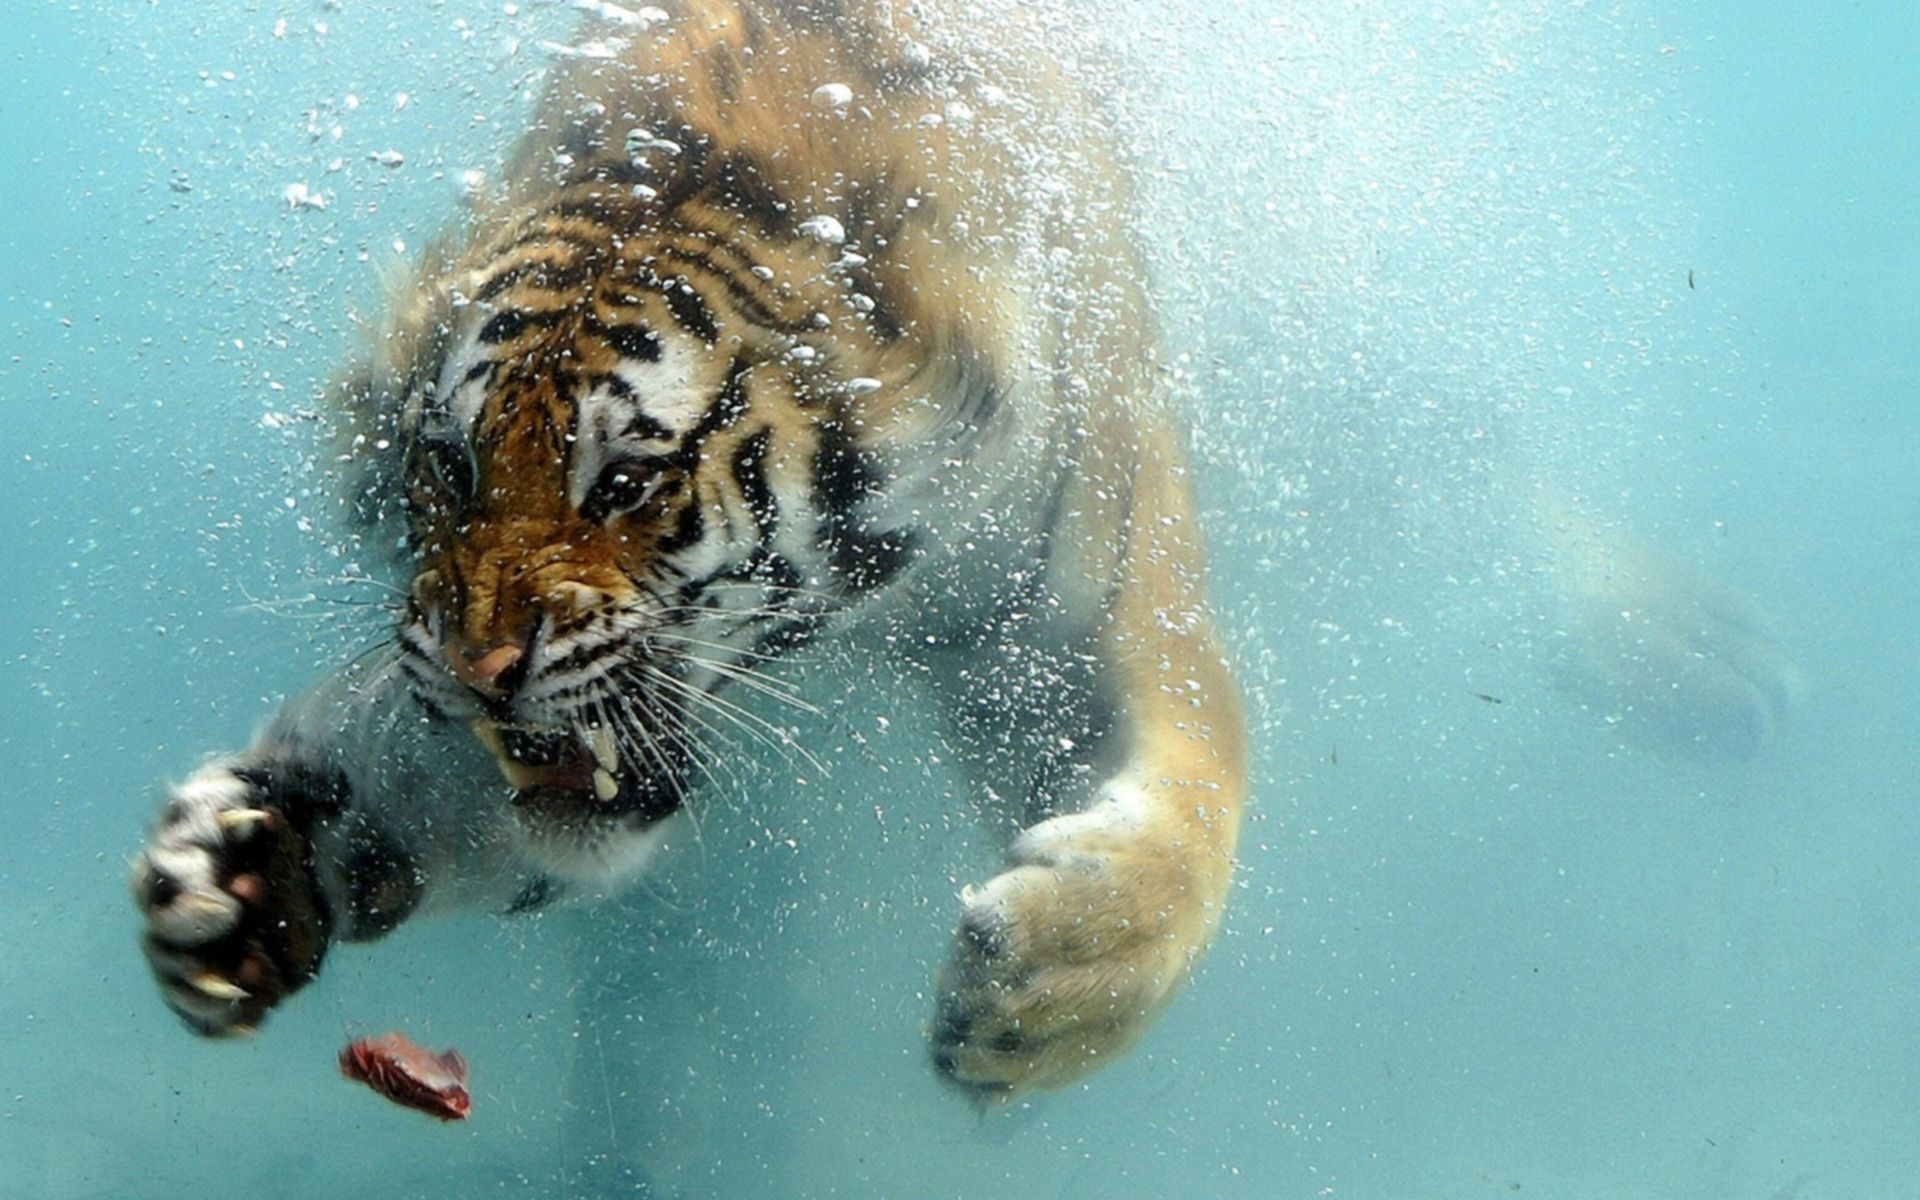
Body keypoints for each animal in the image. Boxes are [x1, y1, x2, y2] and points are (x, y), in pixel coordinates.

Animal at [131, 0, 1244, 1105]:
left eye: (624, 482)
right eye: (450, 464)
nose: (477, 669)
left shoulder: (1067, 607)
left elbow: (1199, 781)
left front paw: (1046, 981)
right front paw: (244, 871)